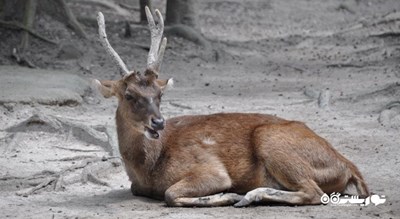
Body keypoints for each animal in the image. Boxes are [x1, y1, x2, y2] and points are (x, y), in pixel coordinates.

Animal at [94, 6, 368, 207]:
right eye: (129, 95)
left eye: (159, 93)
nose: (158, 122)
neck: (148, 168)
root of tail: (348, 167)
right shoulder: (137, 184)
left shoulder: (211, 169)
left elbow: (170, 194)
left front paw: (228, 195)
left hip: (272, 139)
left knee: (315, 193)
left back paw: (249, 196)